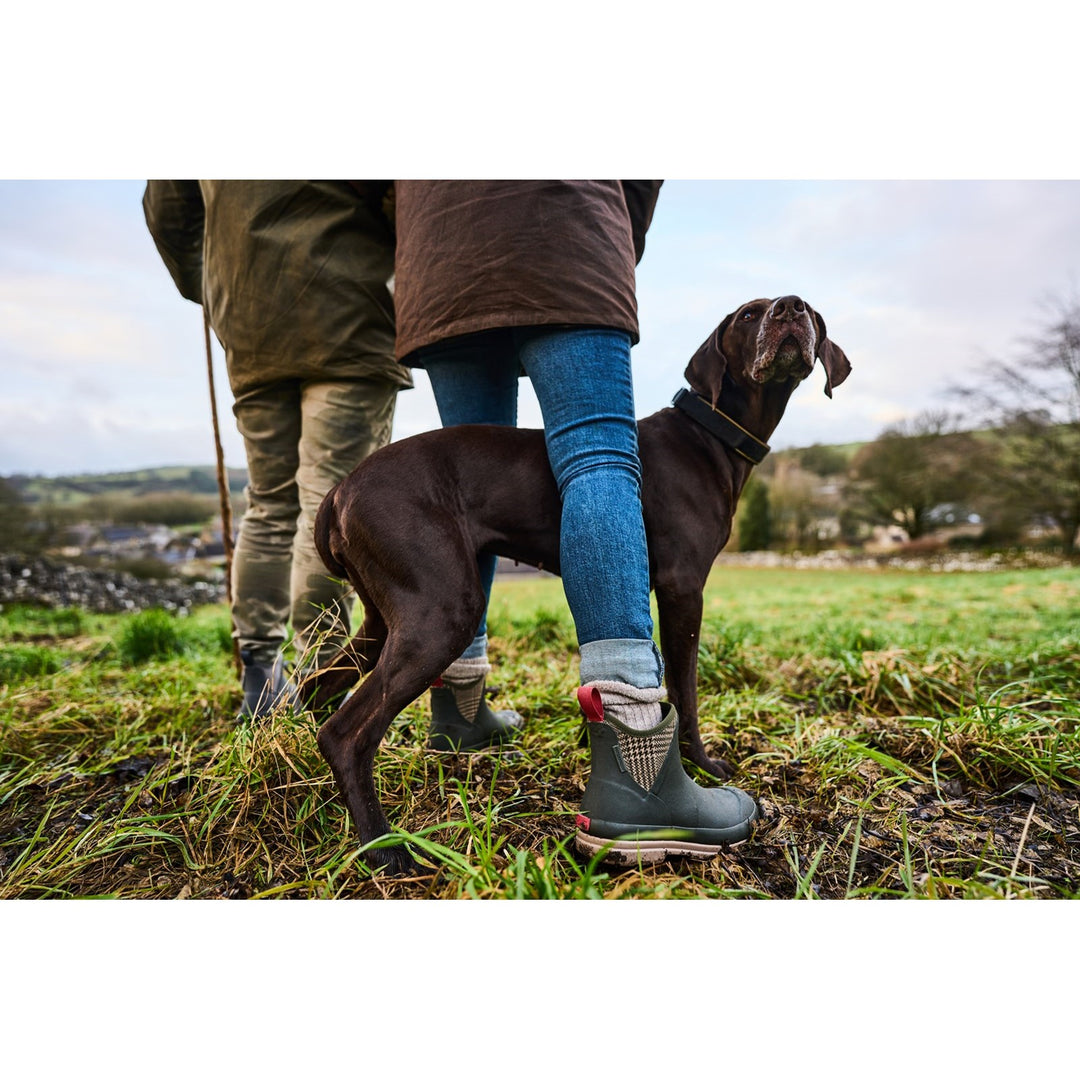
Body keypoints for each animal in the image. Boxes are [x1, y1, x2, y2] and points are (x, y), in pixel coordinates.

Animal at [308, 295, 846, 868]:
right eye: (748, 315)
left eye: (809, 312)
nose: (790, 310)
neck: (709, 435)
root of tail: (341, 489)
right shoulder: (683, 589)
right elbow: (686, 691)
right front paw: (702, 766)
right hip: (440, 612)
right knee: (345, 734)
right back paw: (384, 848)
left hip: (386, 618)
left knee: (317, 688)